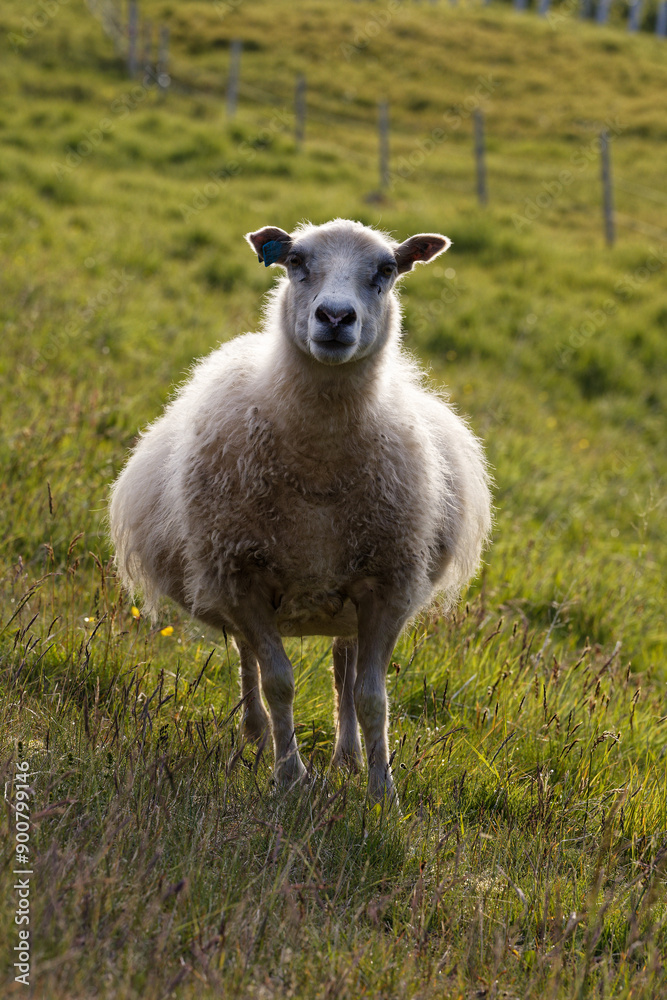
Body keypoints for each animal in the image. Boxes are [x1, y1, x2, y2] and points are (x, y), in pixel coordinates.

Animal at [109, 218, 492, 805]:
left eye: (387, 269)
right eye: (295, 261)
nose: (335, 317)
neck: (319, 468)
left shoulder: (388, 586)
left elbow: (371, 696)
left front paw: (382, 791)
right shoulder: (241, 578)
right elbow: (278, 683)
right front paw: (290, 777)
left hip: (346, 598)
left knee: (343, 671)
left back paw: (347, 756)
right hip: (227, 580)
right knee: (249, 659)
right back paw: (254, 738)